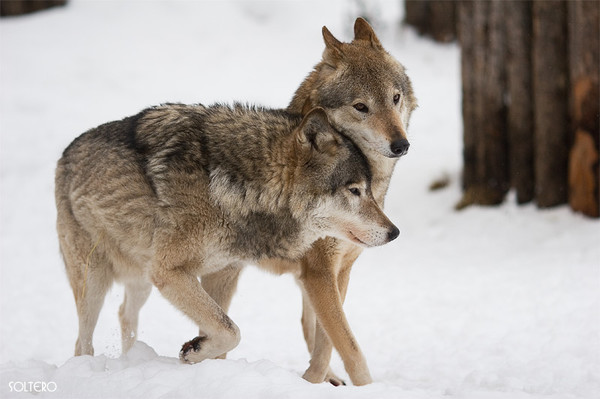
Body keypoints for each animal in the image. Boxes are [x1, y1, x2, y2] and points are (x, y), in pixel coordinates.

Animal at [55, 104, 398, 366]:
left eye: (369, 190)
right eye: (354, 190)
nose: (394, 232)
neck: (237, 187)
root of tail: (65, 154)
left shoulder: (221, 273)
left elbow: (222, 328)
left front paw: (199, 356)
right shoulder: (169, 272)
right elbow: (232, 330)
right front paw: (194, 352)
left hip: (141, 279)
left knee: (124, 314)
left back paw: (131, 360)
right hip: (95, 279)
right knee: (82, 341)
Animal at [200, 18, 418, 388]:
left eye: (395, 98)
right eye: (361, 107)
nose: (400, 144)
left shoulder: (339, 271)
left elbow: (327, 339)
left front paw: (314, 379)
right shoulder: (319, 272)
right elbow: (350, 347)